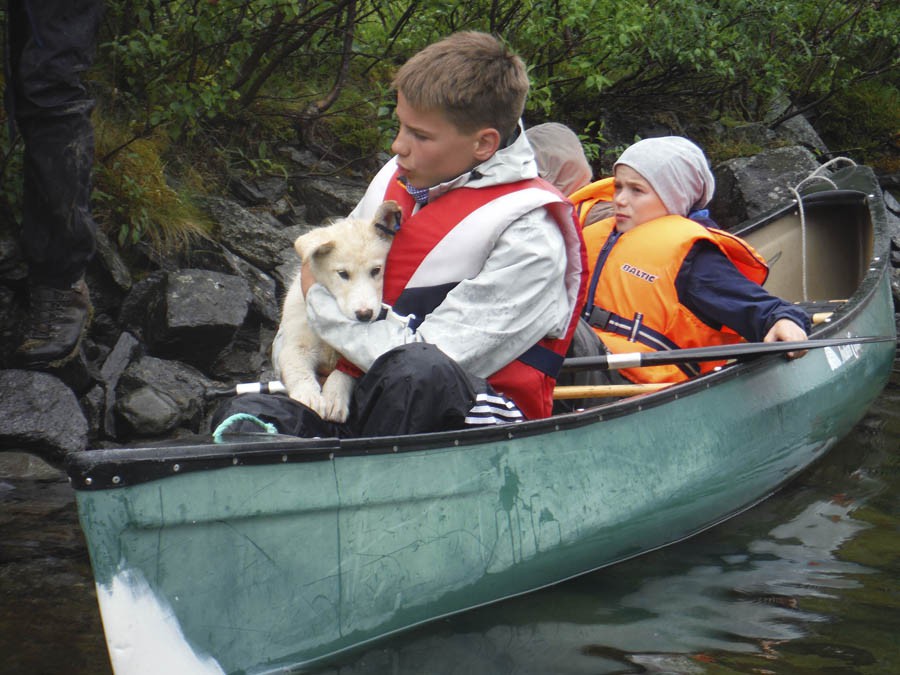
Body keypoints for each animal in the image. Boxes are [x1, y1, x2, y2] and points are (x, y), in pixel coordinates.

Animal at [274, 199, 400, 422]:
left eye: (376, 270)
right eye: (342, 274)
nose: (365, 314)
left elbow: (345, 371)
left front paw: (334, 398)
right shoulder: (296, 343)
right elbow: (296, 366)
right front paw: (309, 397)